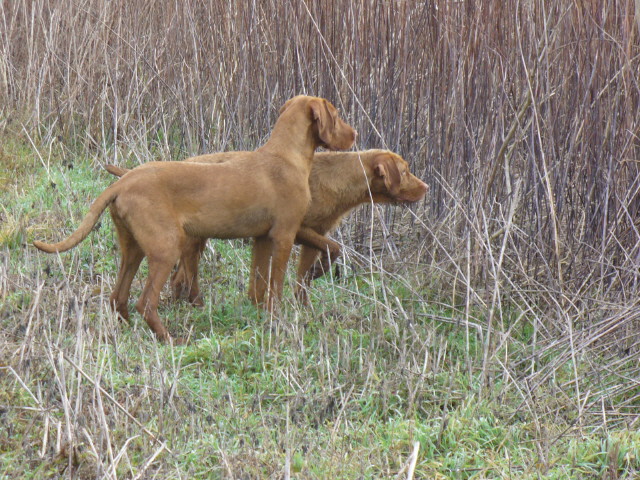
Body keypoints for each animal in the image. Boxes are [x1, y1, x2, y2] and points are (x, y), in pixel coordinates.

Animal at [33, 94, 356, 342]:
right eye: (336, 115)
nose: (354, 135)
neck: (286, 157)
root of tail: (123, 182)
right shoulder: (284, 235)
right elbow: (275, 286)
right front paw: (278, 319)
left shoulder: (262, 238)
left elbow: (259, 284)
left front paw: (260, 316)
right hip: (166, 247)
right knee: (145, 302)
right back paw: (169, 340)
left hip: (134, 247)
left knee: (118, 296)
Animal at [105, 149, 428, 304]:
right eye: (406, 171)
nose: (426, 187)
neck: (335, 178)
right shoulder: (295, 229)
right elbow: (335, 247)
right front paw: (320, 272)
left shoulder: (315, 233)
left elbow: (306, 275)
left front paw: (304, 304)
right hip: (192, 239)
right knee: (181, 275)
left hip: (197, 238)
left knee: (178, 277)